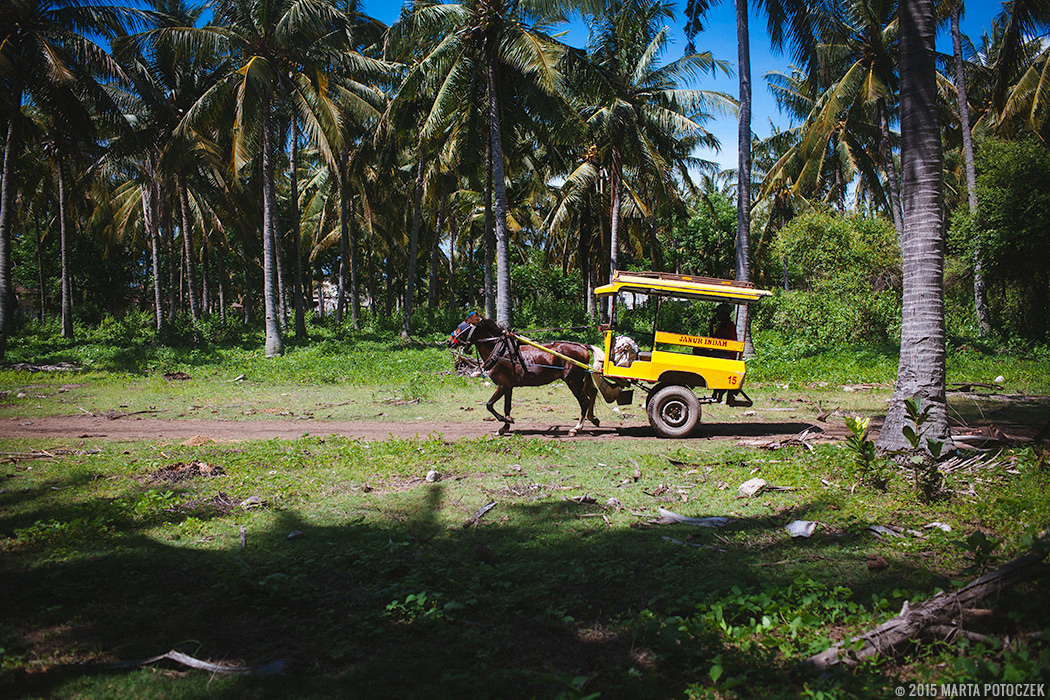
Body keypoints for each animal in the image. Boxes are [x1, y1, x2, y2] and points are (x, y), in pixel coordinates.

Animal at [449, 314, 604, 434]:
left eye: (462, 327)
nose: (449, 341)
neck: (500, 351)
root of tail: (582, 346)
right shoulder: (508, 387)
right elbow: (507, 407)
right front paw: (504, 427)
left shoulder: (502, 385)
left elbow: (489, 405)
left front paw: (506, 420)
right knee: (593, 393)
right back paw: (593, 418)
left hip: (573, 382)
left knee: (584, 401)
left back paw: (577, 428)